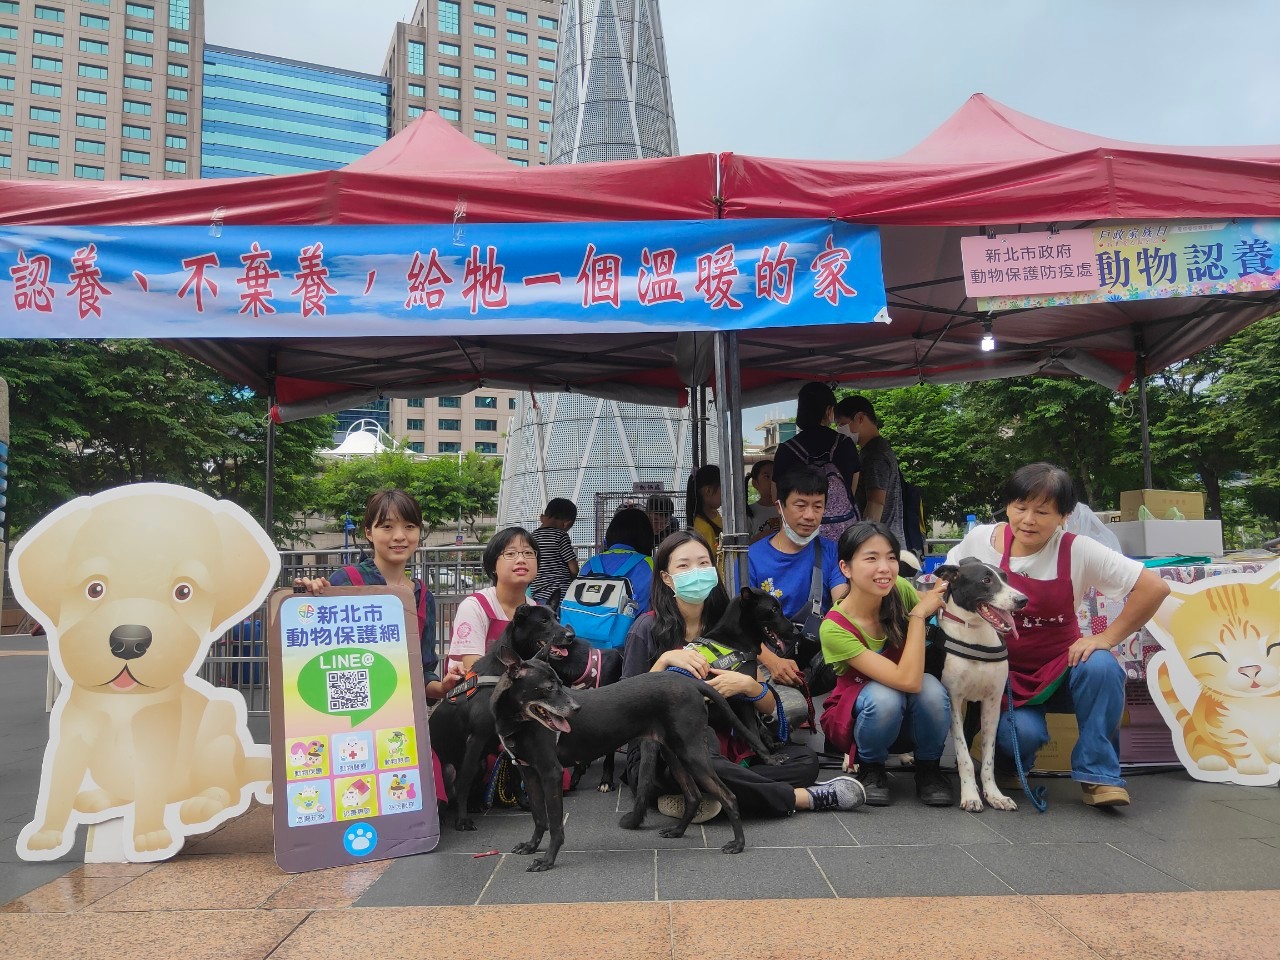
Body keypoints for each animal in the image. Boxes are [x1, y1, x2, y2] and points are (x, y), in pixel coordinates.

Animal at [430, 604, 570, 829]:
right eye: (543, 621)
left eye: (556, 617)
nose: (571, 635)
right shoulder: (476, 738)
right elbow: (464, 780)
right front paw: (462, 819)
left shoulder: (511, 738)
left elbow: (515, 774)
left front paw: (524, 802)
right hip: (451, 767)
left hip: (482, 764)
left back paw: (474, 804)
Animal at [488, 647, 773, 870]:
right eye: (548, 688)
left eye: (560, 683)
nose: (576, 709)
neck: (518, 723)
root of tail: (690, 682)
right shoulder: (529, 772)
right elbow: (539, 817)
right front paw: (531, 846)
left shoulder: (551, 773)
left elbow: (556, 825)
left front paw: (547, 860)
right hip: (673, 753)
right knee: (693, 795)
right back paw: (678, 831)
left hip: (692, 753)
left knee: (728, 796)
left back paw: (738, 844)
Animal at [931, 560, 1029, 814]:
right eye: (986, 580)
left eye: (1005, 577)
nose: (1022, 600)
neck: (974, 632)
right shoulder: (953, 701)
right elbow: (965, 755)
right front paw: (970, 795)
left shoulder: (991, 705)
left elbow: (988, 758)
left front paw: (994, 795)